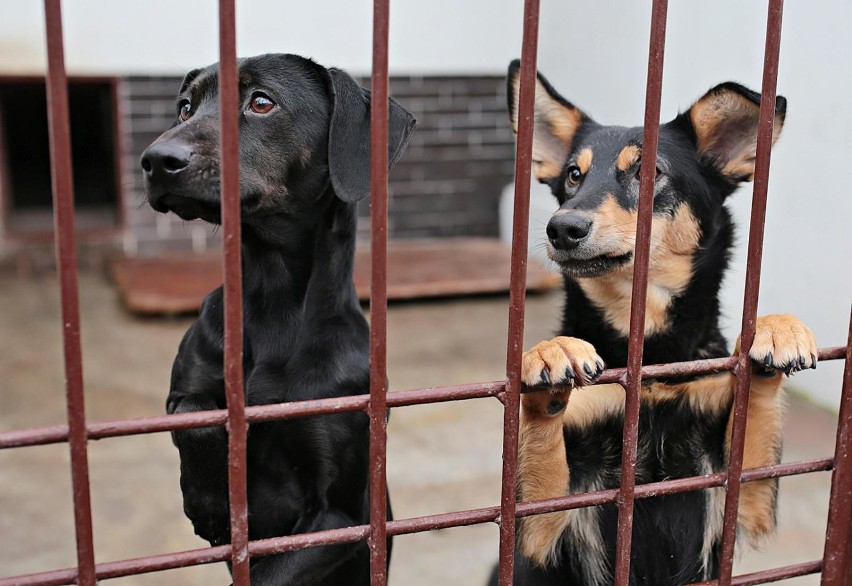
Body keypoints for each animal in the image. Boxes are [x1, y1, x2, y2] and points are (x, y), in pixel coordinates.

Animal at [141, 52, 414, 580]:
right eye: (185, 107)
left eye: (262, 102)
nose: (155, 160)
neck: (274, 302)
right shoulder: (181, 393)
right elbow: (195, 414)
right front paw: (210, 502)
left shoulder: (340, 517)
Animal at [500, 61, 820, 580]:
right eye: (573, 176)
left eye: (650, 171)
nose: (562, 228)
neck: (651, 356)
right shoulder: (537, 534)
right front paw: (552, 354)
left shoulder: (746, 498)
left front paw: (775, 330)